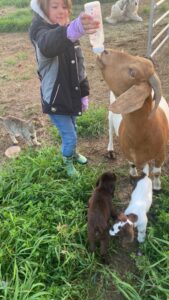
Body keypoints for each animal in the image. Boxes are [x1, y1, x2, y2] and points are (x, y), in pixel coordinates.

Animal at [96, 48, 169, 190]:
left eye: (132, 72)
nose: (105, 51)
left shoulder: (161, 154)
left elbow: (157, 172)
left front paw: (157, 187)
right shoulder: (127, 151)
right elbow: (132, 165)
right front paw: (133, 176)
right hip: (110, 115)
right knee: (110, 132)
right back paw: (110, 151)